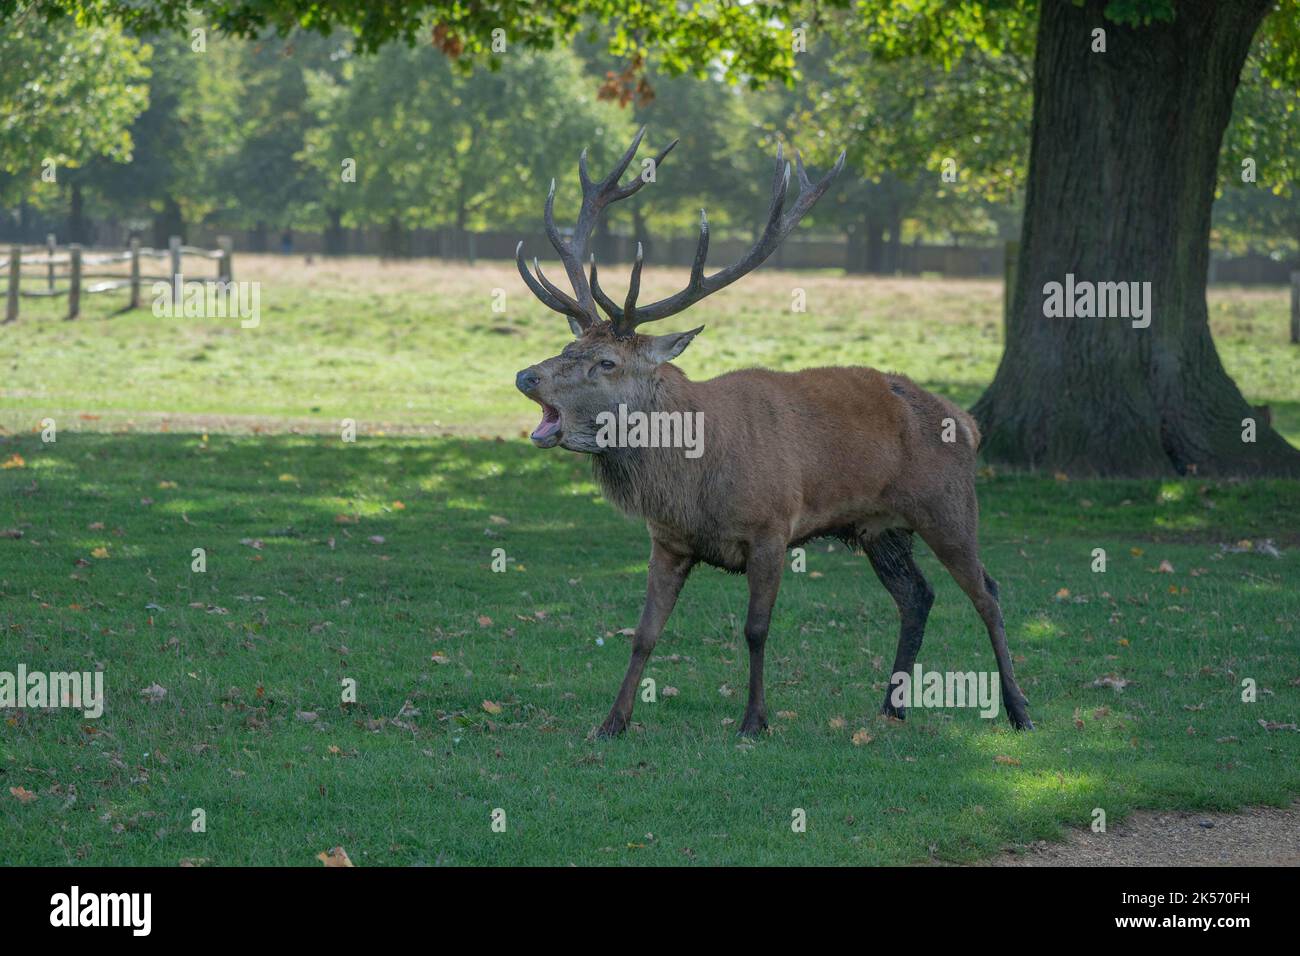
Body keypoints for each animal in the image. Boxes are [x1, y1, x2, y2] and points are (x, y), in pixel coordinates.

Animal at [514, 128, 1033, 738]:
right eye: (567, 345)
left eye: (606, 363)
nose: (527, 376)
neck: (693, 482)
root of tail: (970, 423)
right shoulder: (667, 540)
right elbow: (643, 634)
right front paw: (611, 723)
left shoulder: (771, 528)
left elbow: (756, 630)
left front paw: (753, 721)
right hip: (880, 527)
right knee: (917, 595)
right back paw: (891, 705)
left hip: (948, 505)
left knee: (988, 593)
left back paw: (1019, 709)